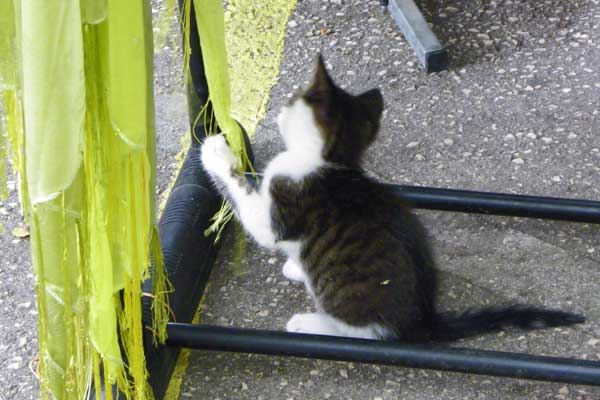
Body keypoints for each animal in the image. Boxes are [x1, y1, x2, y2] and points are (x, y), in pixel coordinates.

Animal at [199, 54, 584, 342]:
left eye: (293, 98)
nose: (280, 108)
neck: (330, 160)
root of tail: (421, 323)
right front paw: (296, 265)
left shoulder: (280, 207)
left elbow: (243, 198)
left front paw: (213, 151)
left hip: (348, 301)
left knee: (364, 333)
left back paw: (309, 323)